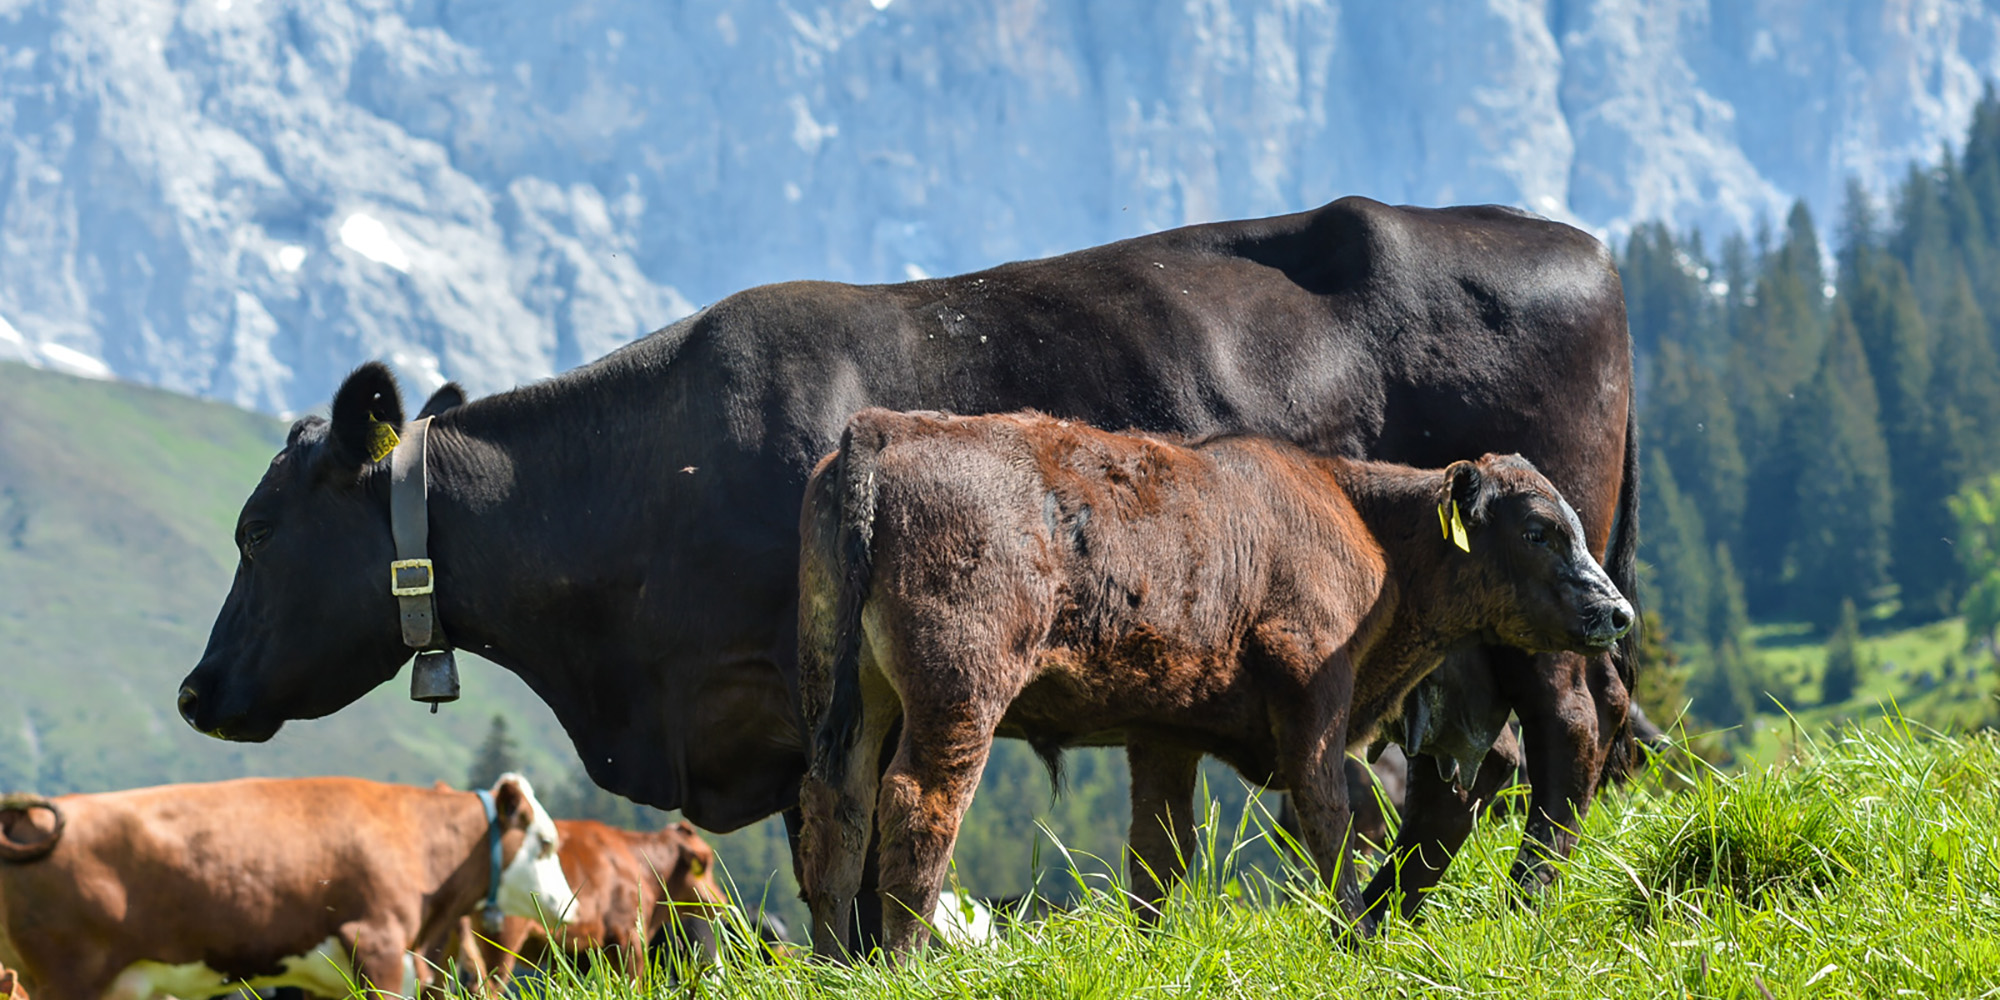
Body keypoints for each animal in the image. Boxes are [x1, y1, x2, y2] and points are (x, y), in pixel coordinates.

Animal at [795, 411, 1632, 956]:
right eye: (1537, 530)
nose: (1617, 610)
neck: (1363, 521)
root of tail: (881, 430)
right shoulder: (1314, 701)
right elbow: (1330, 821)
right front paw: (1357, 942)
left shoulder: (1165, 730)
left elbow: (1159, 854)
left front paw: (1146, 956)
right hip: (960, 694)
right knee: (918, 808)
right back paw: (904, 966)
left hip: (853, 696)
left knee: (836, 808)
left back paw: (836, 966)